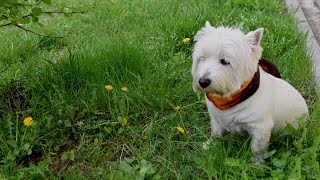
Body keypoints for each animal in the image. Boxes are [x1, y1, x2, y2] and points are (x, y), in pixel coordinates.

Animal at [191, 21, 308, 162]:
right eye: (202, 58)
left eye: (224, 61)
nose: (202, 82)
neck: (230, 97)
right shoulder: (216, 118)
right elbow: (215, 132)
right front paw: (210, 146)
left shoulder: (261, 127)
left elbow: (257, 149)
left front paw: (257, 164)